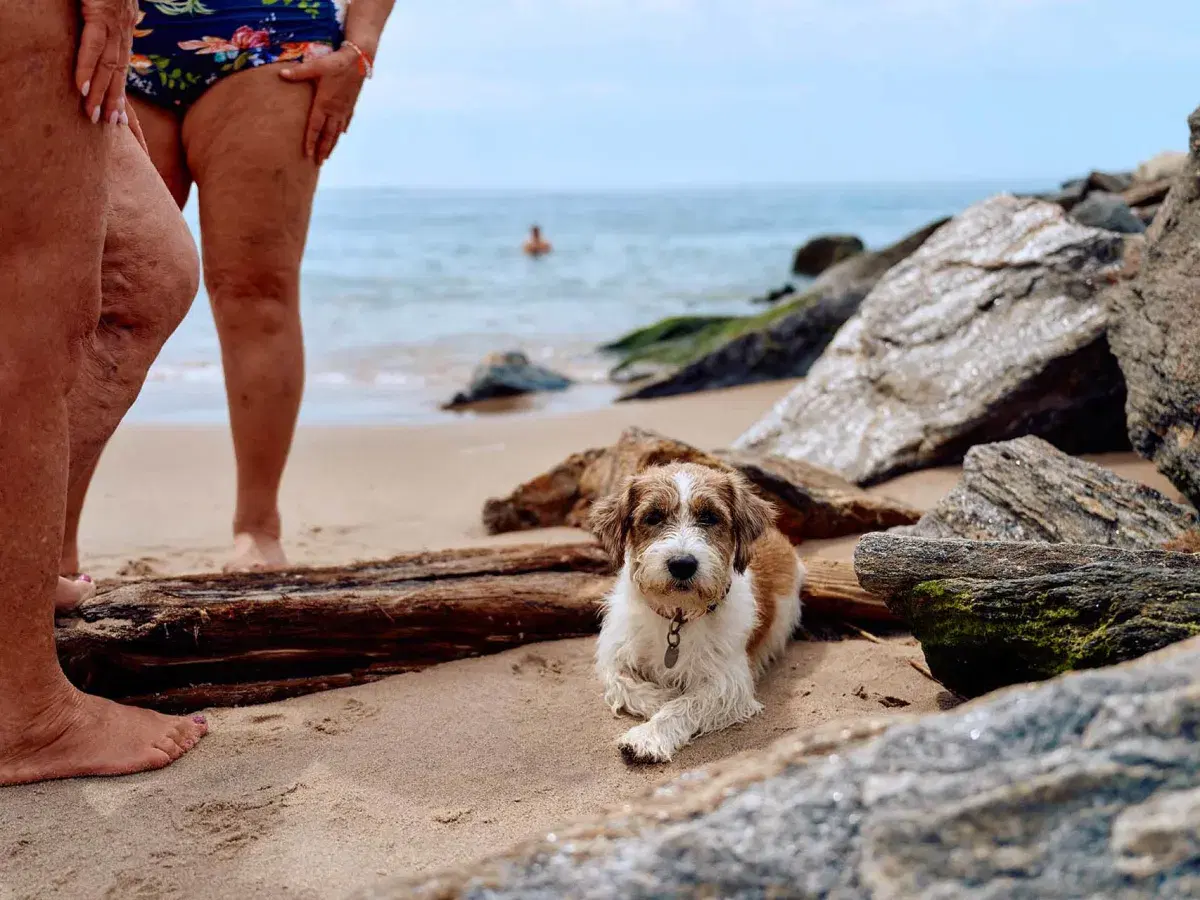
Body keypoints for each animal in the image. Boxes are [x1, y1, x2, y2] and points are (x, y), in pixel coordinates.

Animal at [585, 460, 801, 763]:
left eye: (709, 517)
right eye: (653, 516)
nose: (682, 564)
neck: (677, 617)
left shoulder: (728, 682)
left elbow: (684, 705)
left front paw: (648, 736)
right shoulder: (614, 657)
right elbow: (626, 684)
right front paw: (664, 696)